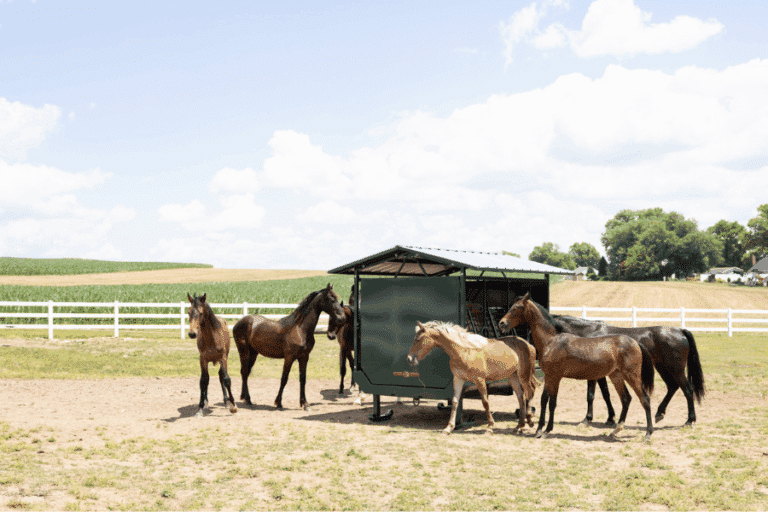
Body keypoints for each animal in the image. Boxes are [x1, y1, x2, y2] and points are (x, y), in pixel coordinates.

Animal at [407, 320, 537, 435]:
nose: (409, 359)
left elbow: (485, 402)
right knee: (521, 397)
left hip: (524, 376)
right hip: (513, 377)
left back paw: (530, 421)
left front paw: (490, 427)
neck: (464, 350)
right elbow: (455, 402)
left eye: (418, 339)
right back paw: (519, 426)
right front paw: (448, 428)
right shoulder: (458, 379)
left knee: (529, 392)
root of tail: (529, 344)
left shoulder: (479, 380)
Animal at [499, 292, 655, 441]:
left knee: (645, 399)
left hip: (631, 376)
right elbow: (544, 400)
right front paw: (538, 430)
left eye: (517, 307)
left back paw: (648, 434)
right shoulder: (549, 377)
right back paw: (615, 431)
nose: (502, 323)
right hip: (616, 375)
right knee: (626, 399)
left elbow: (552, 403)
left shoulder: (555, 377)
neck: (551, 342)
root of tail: (635, 342)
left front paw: (547, 431)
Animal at [551, 314, 705, 427]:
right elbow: (606, 394)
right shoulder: (601, 374)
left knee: (688, 390)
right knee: (672, 387)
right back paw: (659, 413)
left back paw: (689, 420)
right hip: (662, 367)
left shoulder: (592, 373)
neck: (588, 333)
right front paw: (610, 418)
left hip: (676, 369)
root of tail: (680, 330)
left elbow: (590, 395)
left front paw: (587, 419)